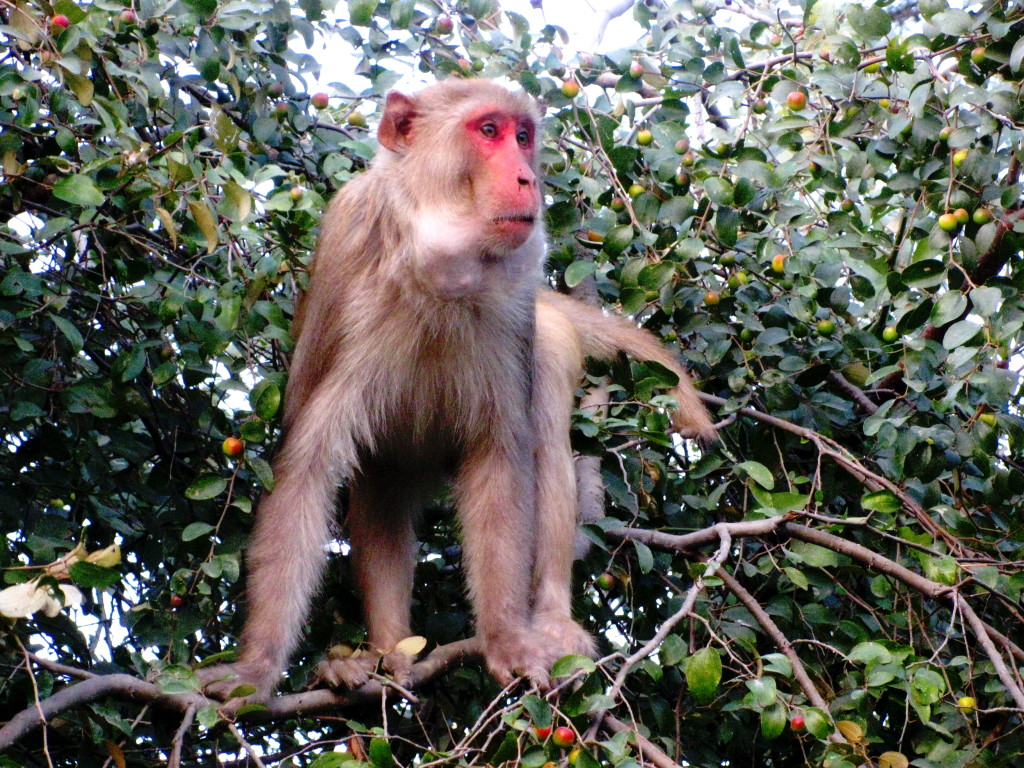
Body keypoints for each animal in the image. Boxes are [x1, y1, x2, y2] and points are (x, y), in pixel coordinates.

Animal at [197, 79, 712, 704]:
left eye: (523, 136)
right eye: (488, 131)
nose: (528, 178)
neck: (438, 266)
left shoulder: (517, 300)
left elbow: (501, 458)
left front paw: (506, 639)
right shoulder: (348, 249)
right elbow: (307, 465)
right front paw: (255, 671)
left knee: (545, 406)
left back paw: (549, 621)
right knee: (381, 476)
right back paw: (386, 653)